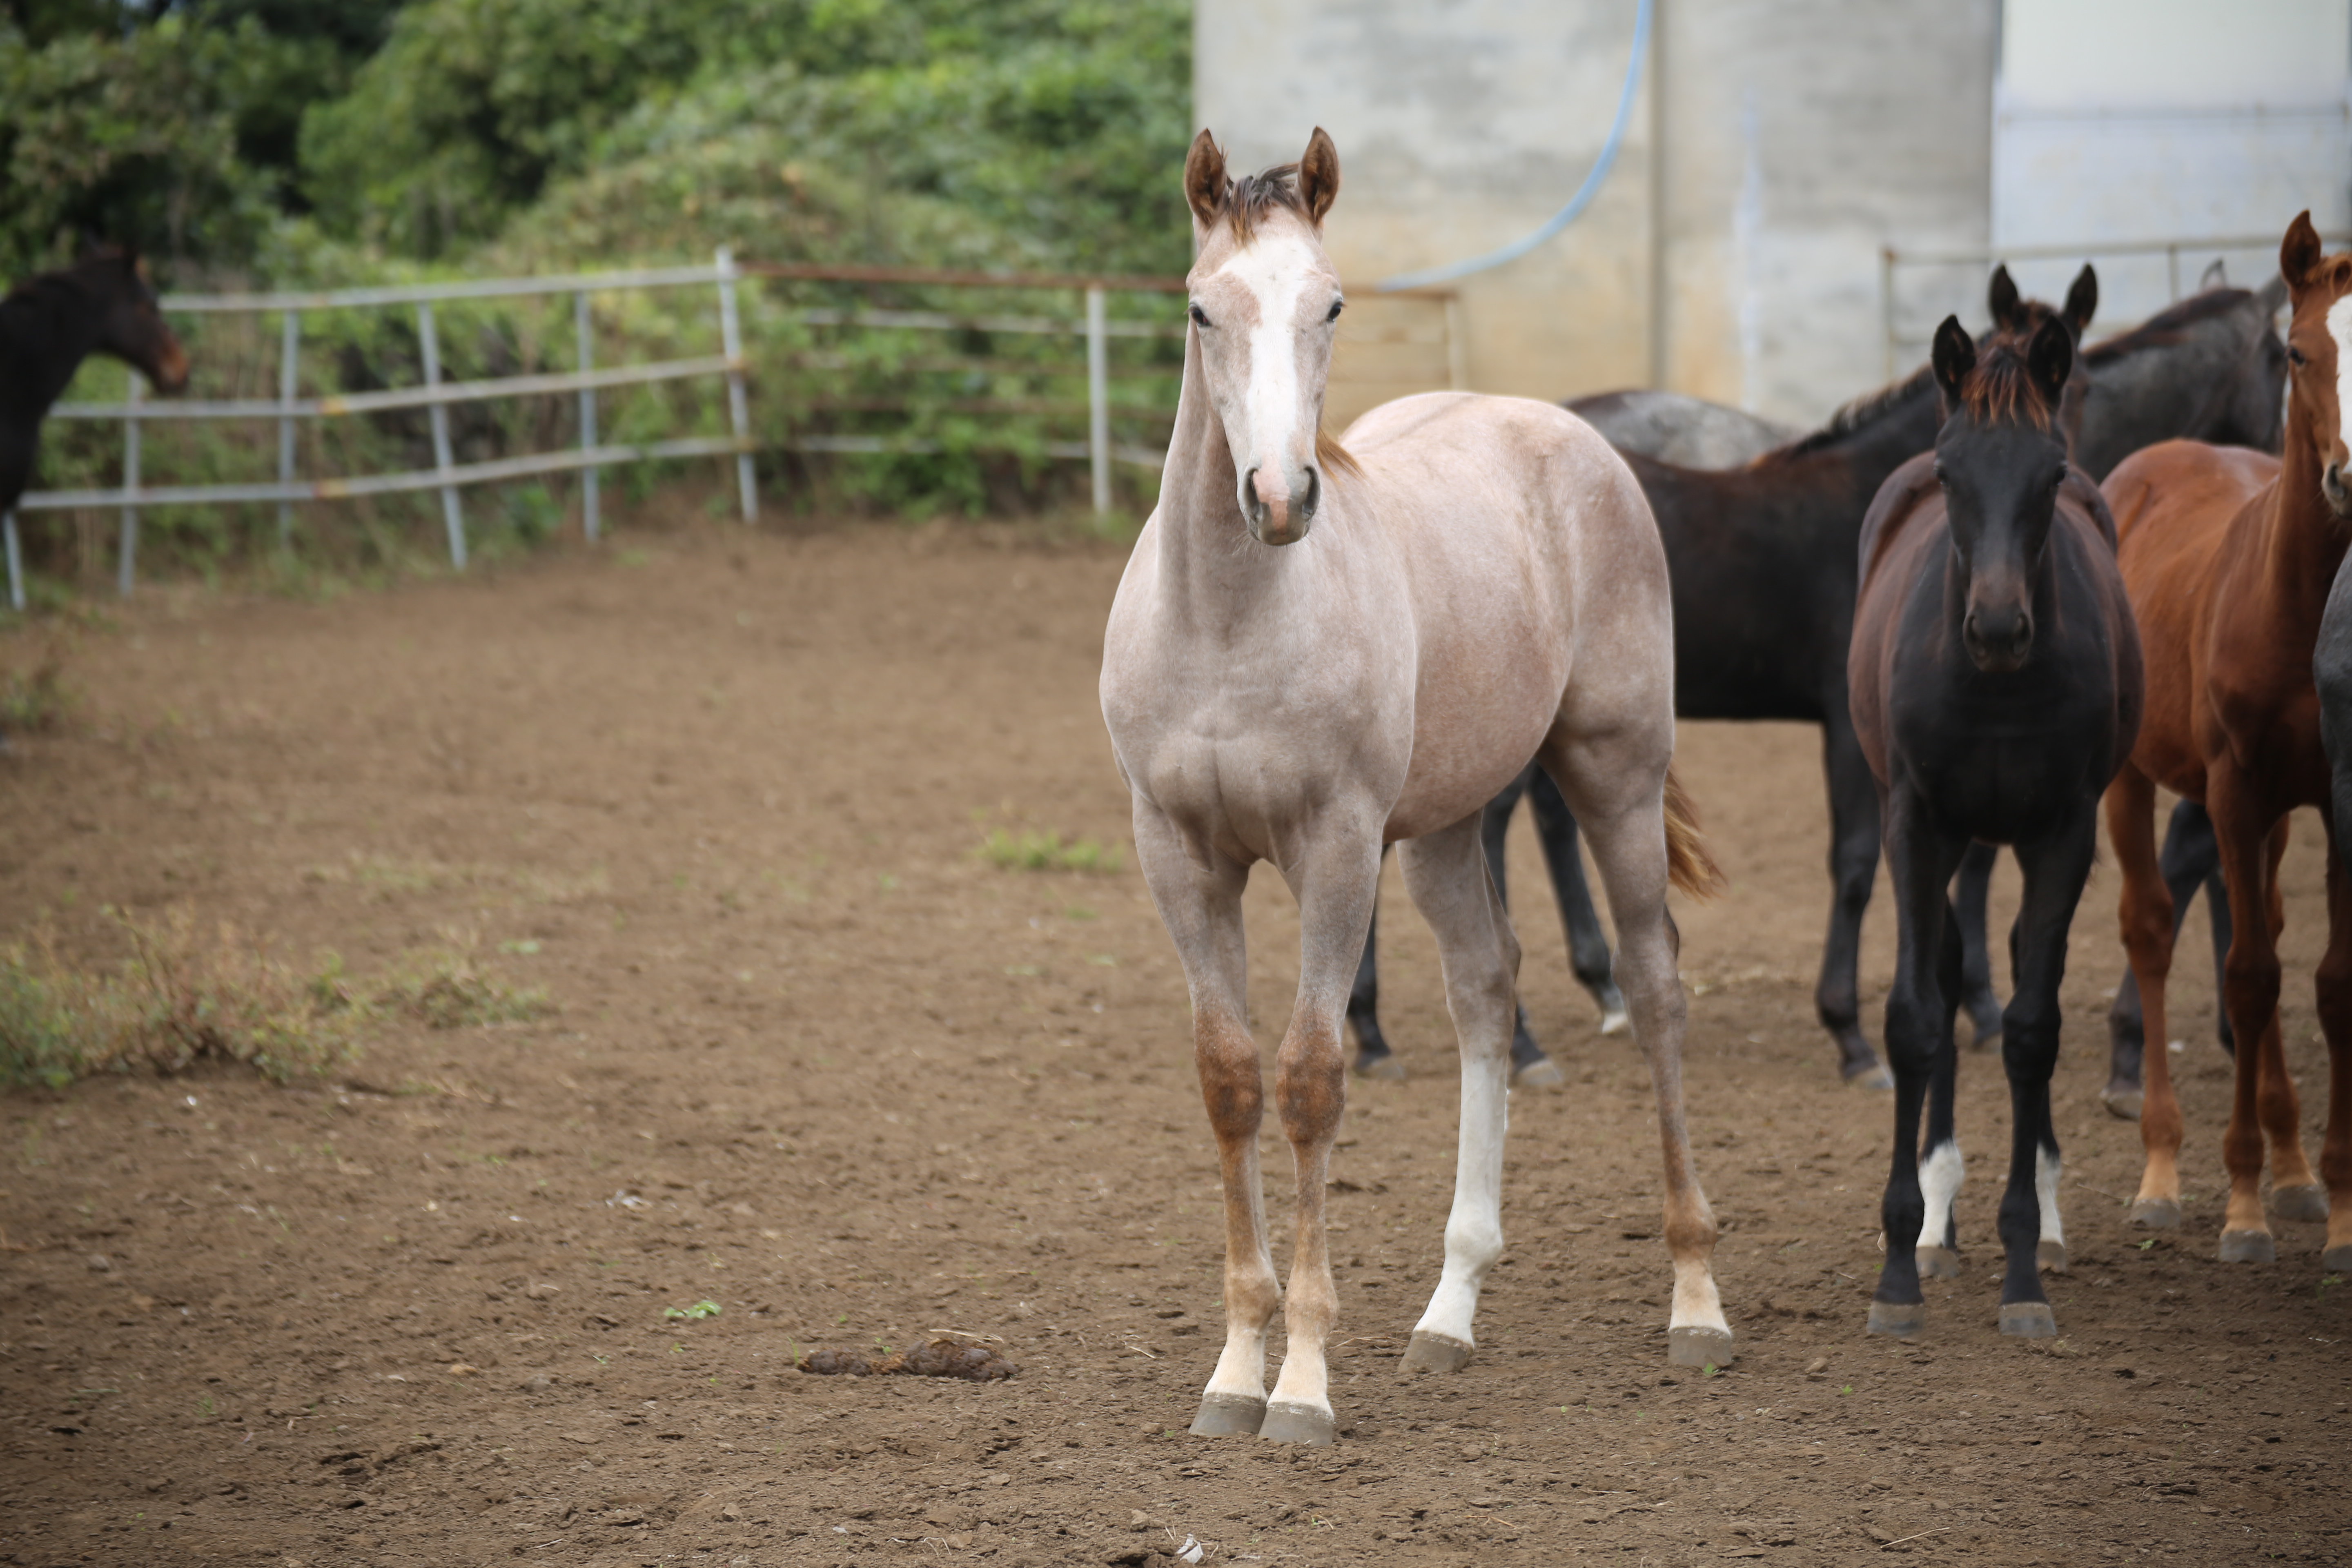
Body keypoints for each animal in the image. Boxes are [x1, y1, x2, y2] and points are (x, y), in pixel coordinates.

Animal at [1096, 131, 1731, 1448]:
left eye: (1331, 304)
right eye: (1199, 309)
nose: (1278, 497)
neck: (1227, 625)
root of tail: (1566, 434)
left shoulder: (1336, 849)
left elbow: (1309, 1077)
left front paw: (1301, 1386)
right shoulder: (1178, 854)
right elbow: (1230, 1079)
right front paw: (1232, 1373)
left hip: (1613, 778)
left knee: (1654, 987)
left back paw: (1696, 1301)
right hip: (1446, 829)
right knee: (1487, 992)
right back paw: (1449, 1313)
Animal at [1844, 315, 2145, 1335]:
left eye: (2051, 473)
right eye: (1950, 471)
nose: (2002, 628)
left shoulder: (2065, 834)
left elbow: (2031, 1029)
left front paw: (2023, 1268)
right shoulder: (1916, 824)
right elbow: (1913, 1018)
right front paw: (1898, 1268)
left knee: (2016, 970)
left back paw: (2041, 1217)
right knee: (1944, 973)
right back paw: (1938, 1216)